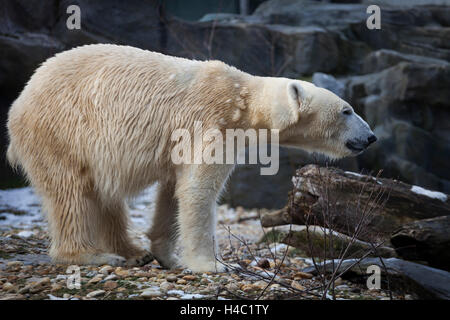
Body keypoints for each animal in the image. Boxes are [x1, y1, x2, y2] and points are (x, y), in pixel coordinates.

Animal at [6, 43, 376, 272]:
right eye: (347, 110)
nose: (371, 137)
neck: (241, 99)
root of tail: (20, 100)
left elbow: (173, 190)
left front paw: (166, 255)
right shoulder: (210, 123)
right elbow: (199, 191)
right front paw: (213, 264)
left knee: (104, 195)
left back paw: (134, 253)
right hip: (60, 131)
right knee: (71, 191)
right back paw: (91, 255)